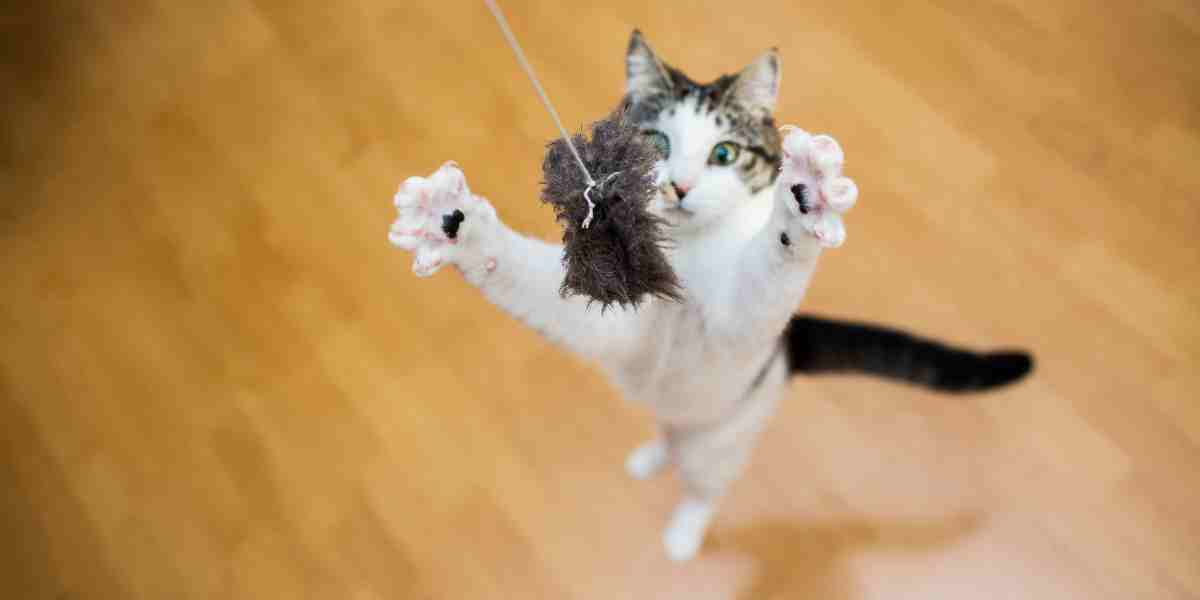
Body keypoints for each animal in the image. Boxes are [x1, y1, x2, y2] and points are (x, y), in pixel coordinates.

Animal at [388, 29, 1027, 561]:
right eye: (655, 141)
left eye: (724, 153)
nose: (679, 186)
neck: (690, 253)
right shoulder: (615, 321)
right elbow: (528, 275)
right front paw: (449, 222)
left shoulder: (736, 331)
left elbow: (762, 280)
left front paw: (806, 199)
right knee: (668, 432)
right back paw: (651, 455)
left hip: (726, 436)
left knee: (704, 486)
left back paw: (684, 533)